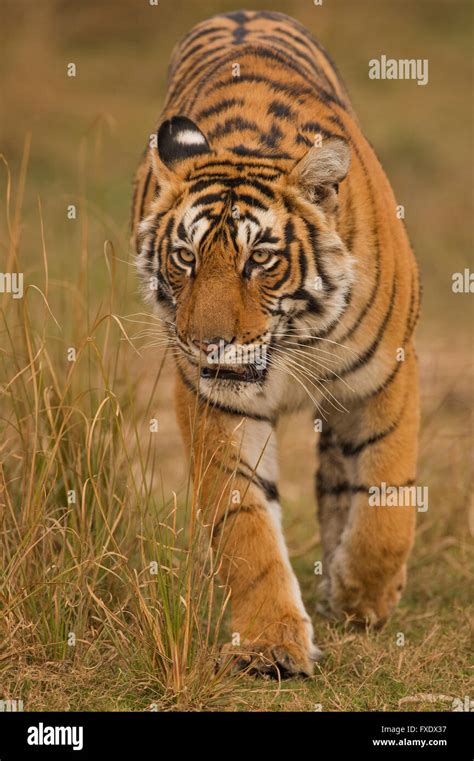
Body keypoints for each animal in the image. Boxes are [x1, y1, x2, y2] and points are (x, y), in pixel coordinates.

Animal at [131, 8, 420, 676]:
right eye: (185, 258)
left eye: (259, 260)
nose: (206, 342)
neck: (295, 339)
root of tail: (240, 11)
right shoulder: (214, 401)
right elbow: (244, 523)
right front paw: (270, 646)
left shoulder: (388, 376)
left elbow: (386, 499)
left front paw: (364, 598)